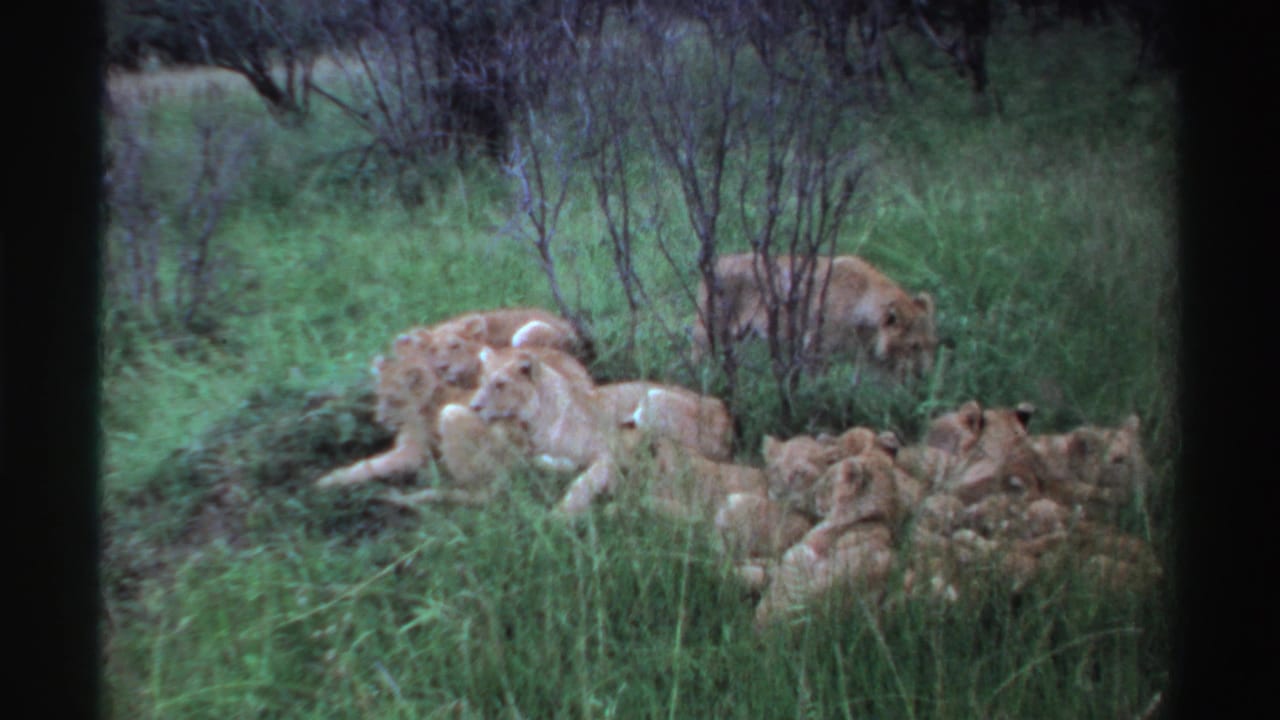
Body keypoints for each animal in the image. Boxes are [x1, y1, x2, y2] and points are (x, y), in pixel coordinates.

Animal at [691, 253, 938, 380]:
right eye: (914, 346)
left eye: (930, 344)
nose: (926, 375)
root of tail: (715, 264)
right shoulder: (815, 347)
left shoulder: (870, 359)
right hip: (709, 330)